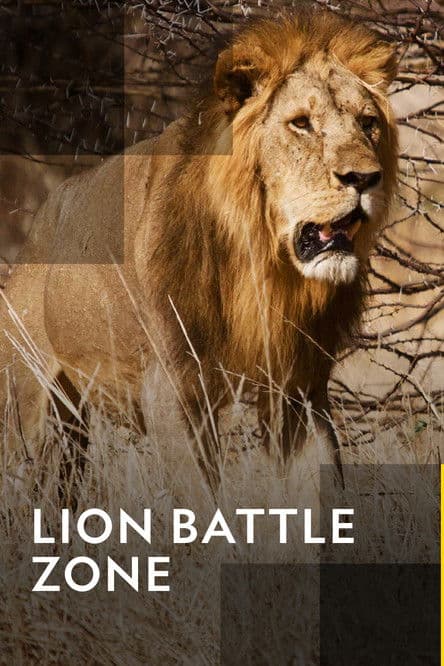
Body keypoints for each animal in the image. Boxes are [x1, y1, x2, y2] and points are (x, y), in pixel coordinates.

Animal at [0, 8, 398, 489]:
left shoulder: (298, 390)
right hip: (29, 420)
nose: (365, 178)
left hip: (70, 437)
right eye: (301, 123)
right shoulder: (171, 390)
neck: (259, 262)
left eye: (368, 123)